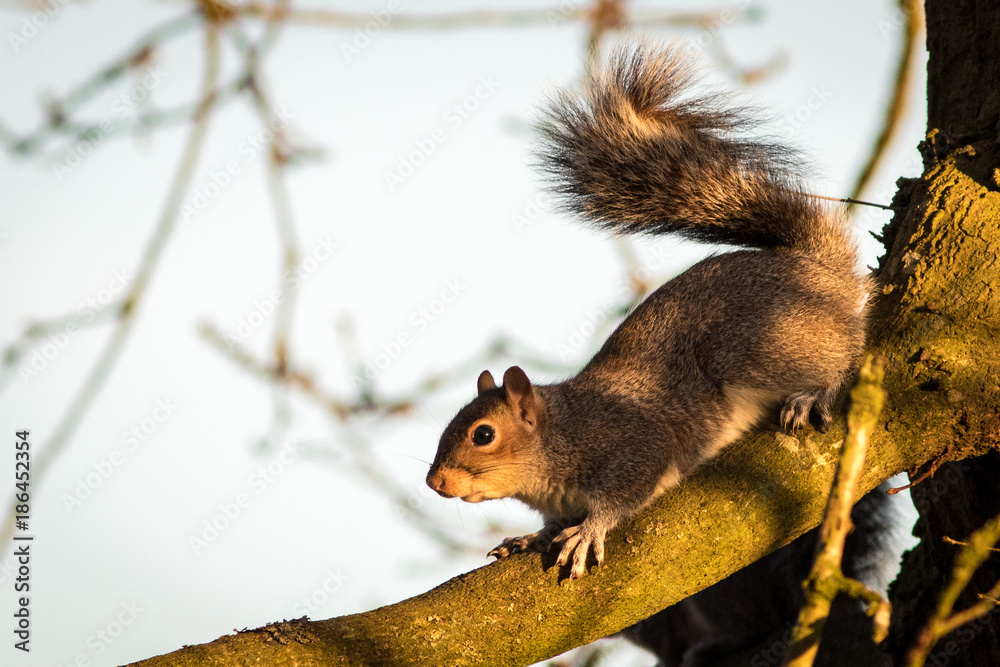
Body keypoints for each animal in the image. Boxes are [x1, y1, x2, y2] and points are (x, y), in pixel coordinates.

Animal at [425, 43, 871, 580]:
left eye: (483, 434)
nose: (434, 483)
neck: (562, 435)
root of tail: (822, 270)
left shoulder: (634, 444)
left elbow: (624, 493)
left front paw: (588, 531)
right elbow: (552, 524)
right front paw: (531, 536)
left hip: (759, 344)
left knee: (846, 351)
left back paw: (814, 392)